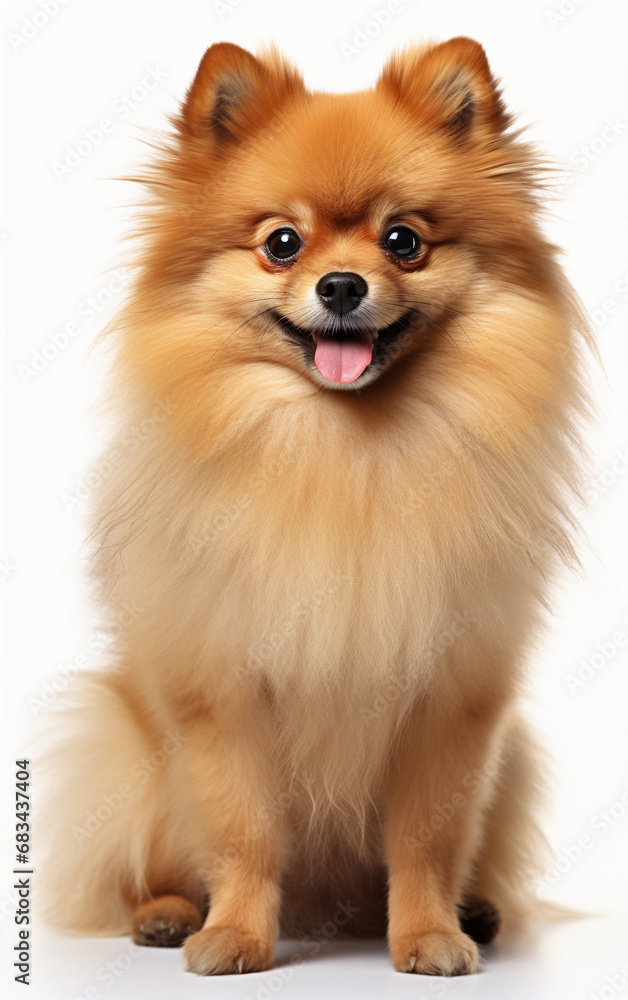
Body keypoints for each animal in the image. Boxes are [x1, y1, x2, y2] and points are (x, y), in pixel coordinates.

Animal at [40, 39, 588, 976]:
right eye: (282, 243)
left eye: (404, 240)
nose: (338, 285)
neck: (344, 454)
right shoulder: (225, 697)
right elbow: (244, 830)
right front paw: (235, 935)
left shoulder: (453, 703)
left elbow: (428, 837)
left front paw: (429, 934)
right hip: (129, 748)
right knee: (142, 863)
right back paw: (168, 913)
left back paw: (474, 912)